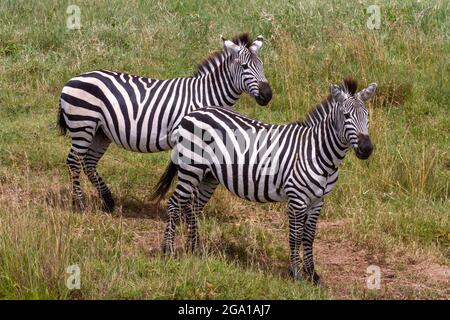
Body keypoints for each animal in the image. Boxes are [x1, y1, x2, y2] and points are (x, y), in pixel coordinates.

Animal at [58, 33, 272, 212]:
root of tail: (71, 80)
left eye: (262, 65)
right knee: (74, 161)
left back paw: (108, 202)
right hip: (83, 125)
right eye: (244, 67)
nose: (267, 95)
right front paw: (188, 211)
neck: (205, 95)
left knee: (88, 162)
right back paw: (79, 204)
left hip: (101, 131)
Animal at [151, 79, 376, 284]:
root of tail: (193, 113)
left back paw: (194, 250)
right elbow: (295, 235)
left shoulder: (318, 201)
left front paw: (313, 275)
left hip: (208, 176)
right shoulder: (297, 198)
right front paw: (296, 275)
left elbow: (309, 237)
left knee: (192, 207)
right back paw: (168, 251)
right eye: (346, 116)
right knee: (174, 204)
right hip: (190, 168)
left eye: (367, 116)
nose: (367, 149)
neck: (317, 152)